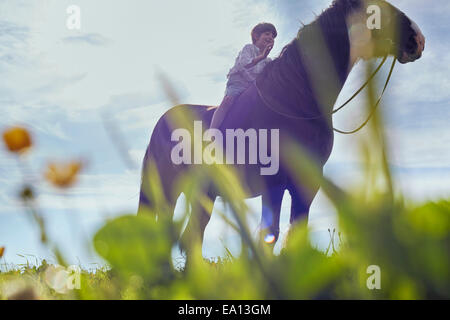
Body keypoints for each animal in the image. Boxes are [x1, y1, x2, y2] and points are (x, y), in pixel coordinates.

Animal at [137, 0, 426, 246]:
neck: (294, 100)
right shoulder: (273, 183)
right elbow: (270, 235)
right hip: (166, 191)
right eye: (377, 8)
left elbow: (295, 236)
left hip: (201, 193)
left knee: (190, 237)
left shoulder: (307, 185)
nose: (418, 39)